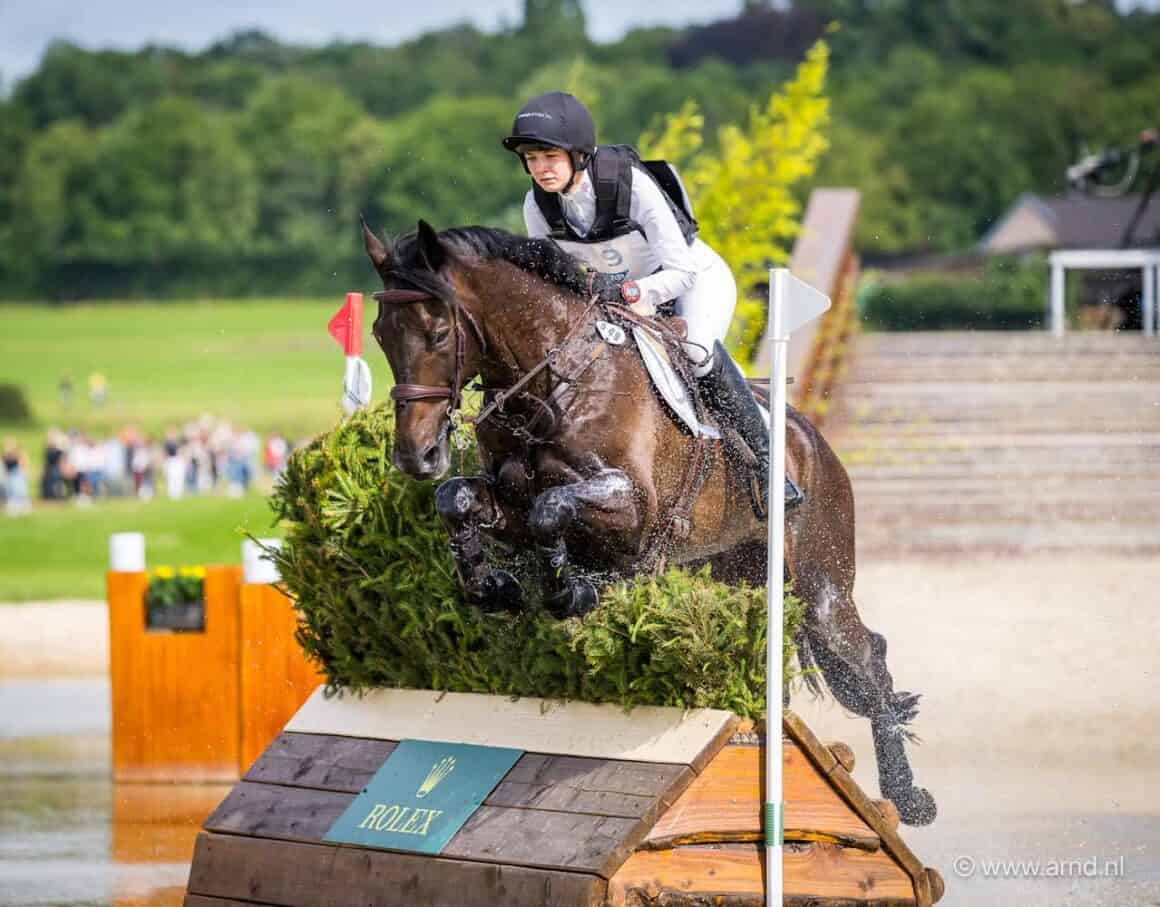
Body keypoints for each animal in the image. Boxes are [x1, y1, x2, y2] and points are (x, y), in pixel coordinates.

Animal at [364, 220, 941, 830]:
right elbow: (457, 500)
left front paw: (570, 591)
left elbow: (554, 509)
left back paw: (909, 799)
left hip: (819, 584)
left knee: (867, 657)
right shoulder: (508, 507)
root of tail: (813, 437)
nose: (416, 456)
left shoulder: (632, 509)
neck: (555, 384)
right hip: (739, 572)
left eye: (437, 333)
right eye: (380, 334)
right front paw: (493, 585)